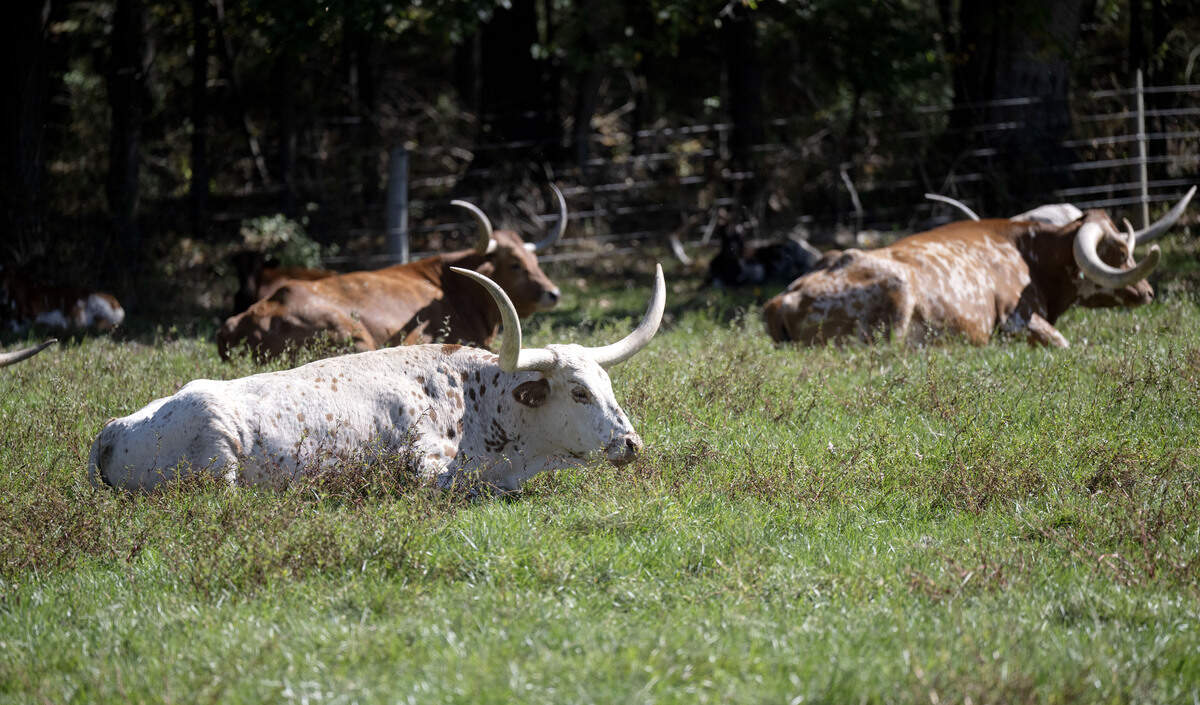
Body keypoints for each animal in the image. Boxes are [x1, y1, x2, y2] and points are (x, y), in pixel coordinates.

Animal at [89, 264, 665, 492]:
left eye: (608, 386)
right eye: (578, 391)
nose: (631, 444)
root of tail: (113, 429)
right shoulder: (426, 469)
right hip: (217, 460)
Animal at [763, 188, 1194, 347]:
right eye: (1117, 250)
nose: (1148, 292)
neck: (1026, 254)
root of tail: (781, 301)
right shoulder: (1017, 320)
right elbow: (1062, 342)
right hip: (897, 294)